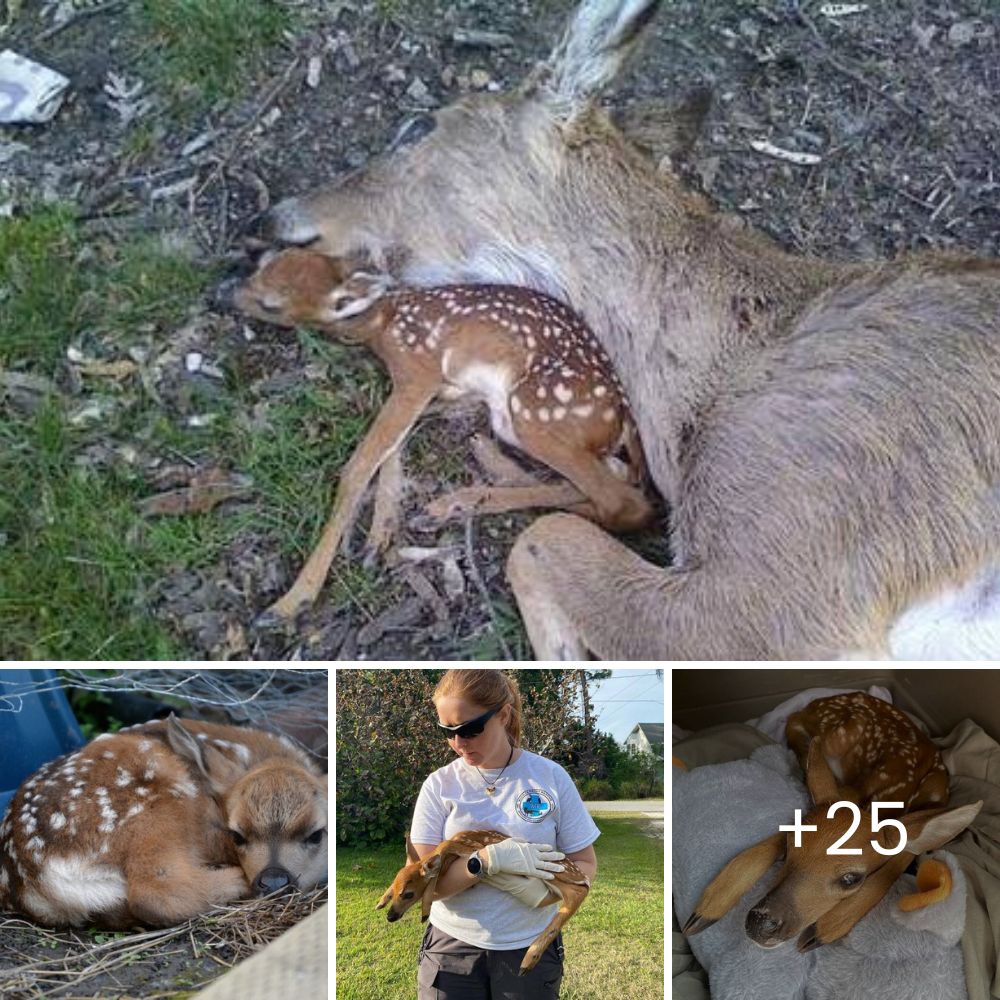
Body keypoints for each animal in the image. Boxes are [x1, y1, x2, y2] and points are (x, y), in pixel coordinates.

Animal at [0, 716, 328, 924]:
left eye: (315, 834)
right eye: (236, 834)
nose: (273, 882)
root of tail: (34, 877)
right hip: (156, 802)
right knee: (154, 890)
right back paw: (233, 880)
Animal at [226, 248, 648, 624]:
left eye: (270, 304)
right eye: (262, 264)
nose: (226, 293)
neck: (381, 322)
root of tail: (624, 416)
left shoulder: (418, 372)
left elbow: (360, 465)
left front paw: (292, 601)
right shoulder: (445, 391)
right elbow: (391, 449)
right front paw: (379, 536)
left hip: (534, 409)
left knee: (626, 502)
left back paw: (452, 503)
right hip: (510, 420)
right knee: (612, 479)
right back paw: (464, 490)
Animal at [378, 828, 588, 976]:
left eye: (409, 894)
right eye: (395, 890)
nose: (390, 916)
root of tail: (581, 874)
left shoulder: (471, 847)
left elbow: (443, 846)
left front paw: (425, 910)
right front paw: (381, 901)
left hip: (553, 869)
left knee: (579, 890)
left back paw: (528, 961)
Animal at [684, 692, 980, 948]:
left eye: (851, 879)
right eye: (789, 847)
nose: (760, 924)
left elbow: (902, 853)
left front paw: (826, 928)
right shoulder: (844, 795)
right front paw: (708, 907)